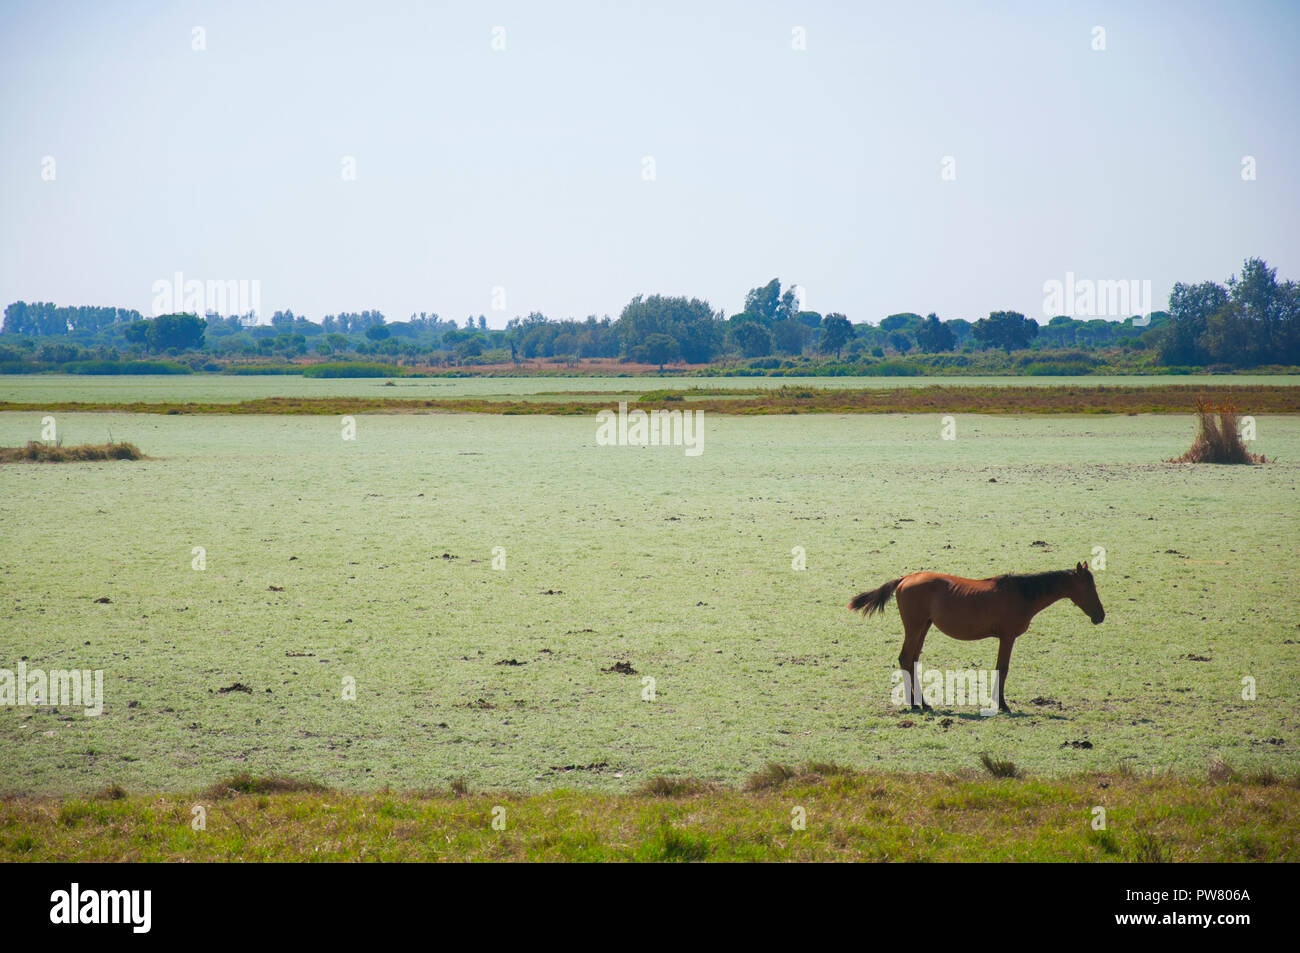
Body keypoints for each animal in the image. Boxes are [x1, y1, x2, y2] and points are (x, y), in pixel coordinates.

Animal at [847, 561, 1102, 712]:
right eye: (1088, 587)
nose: (1100, 615)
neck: (1021, 594)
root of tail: (905, 578)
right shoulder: (1007, 637)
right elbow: (1002, 668)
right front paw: (1002, 704)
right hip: (915, 626)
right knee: (905, 658)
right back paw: (914, 703)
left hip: (923, 627)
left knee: (912, 660)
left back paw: (923, 702)